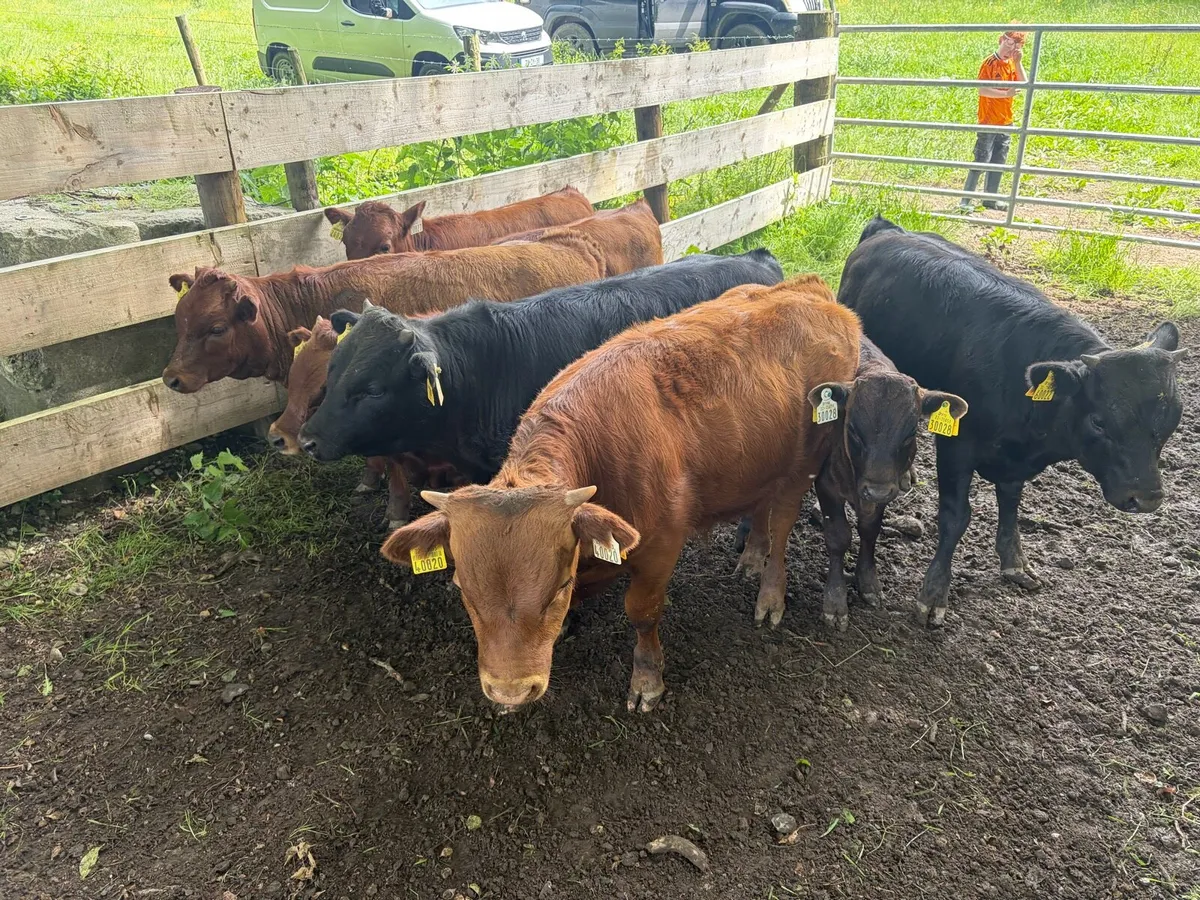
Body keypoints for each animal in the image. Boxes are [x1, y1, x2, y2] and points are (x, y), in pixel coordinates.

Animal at [378, 274, 860, 713]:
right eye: (462, 587)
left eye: (559, 585)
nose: (510, 692)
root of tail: (808, 288)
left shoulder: (661, 547)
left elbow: (642, 612)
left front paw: (647, 679)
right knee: (761, 510)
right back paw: (751, 557)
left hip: (804, 464)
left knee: (783, 524)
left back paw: (770, 594)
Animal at [839, 216, 1187, 628]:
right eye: (1100, 422)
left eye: (1173, 419)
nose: (1145, 497)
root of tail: (889, 229)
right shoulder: (957, 444)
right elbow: (956, 517)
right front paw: (933, 594)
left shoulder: (1016, 460)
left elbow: (1011, 501)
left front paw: (1015, 562)